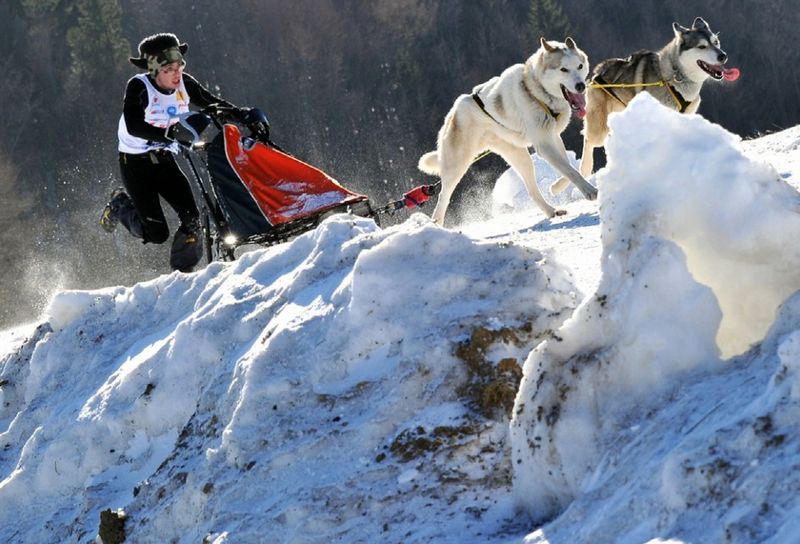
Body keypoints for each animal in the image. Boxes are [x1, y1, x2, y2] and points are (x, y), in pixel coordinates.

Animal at [418, 38, 592, 224]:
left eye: (580, 66)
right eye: (563, 69)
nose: (580, 86)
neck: (534, 91)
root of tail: (453, 113)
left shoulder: (553, 137)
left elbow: (568, 168)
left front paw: (556, 186)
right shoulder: (544, 145)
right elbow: (570, 170)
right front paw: (590, 191)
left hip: (521, 157)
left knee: (532, 190)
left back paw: (551, 211)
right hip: (456, 167)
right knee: (443, 198)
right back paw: (435, 224)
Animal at [552, 17, 740, 193]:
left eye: (716, 42)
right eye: (702, 46)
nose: (723, 56)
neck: (674, 76)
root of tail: (596, 73)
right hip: (599, 128)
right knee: (588, 142)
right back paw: (569, 178)